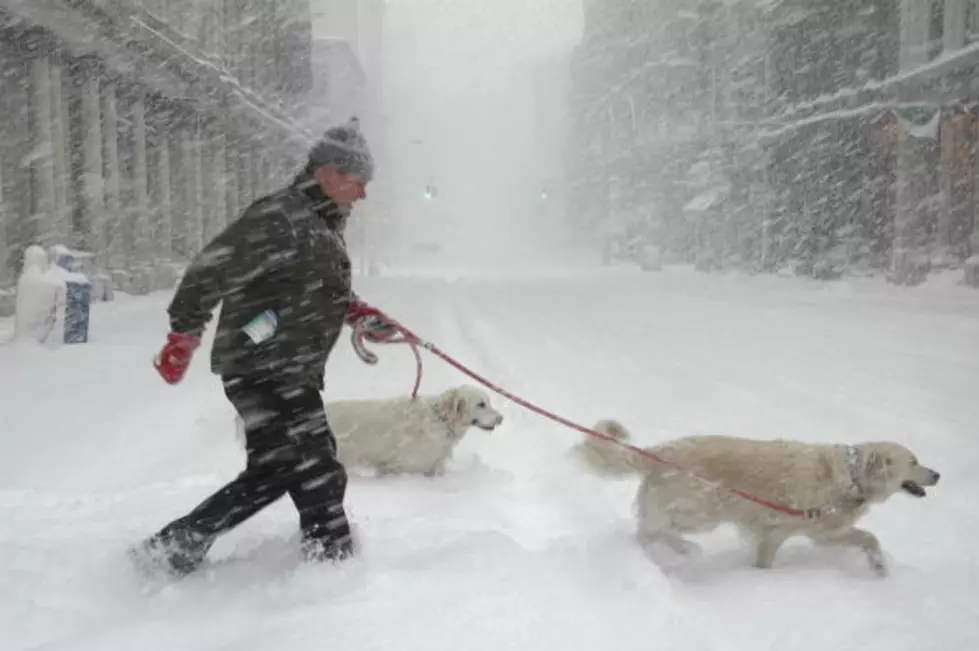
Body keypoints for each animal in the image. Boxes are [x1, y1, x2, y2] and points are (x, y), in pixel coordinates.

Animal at [576, 418, 940, 576]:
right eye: (914, 461)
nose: (937, 474)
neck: (851, 477)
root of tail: (661, 452)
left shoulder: (826, 533)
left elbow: (869, 538)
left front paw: (879, 567)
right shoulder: (776, 530)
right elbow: (765, 561)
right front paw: (760, 579)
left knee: (646, 531)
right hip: (703, 510)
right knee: (656, 530)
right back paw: (686, 550)